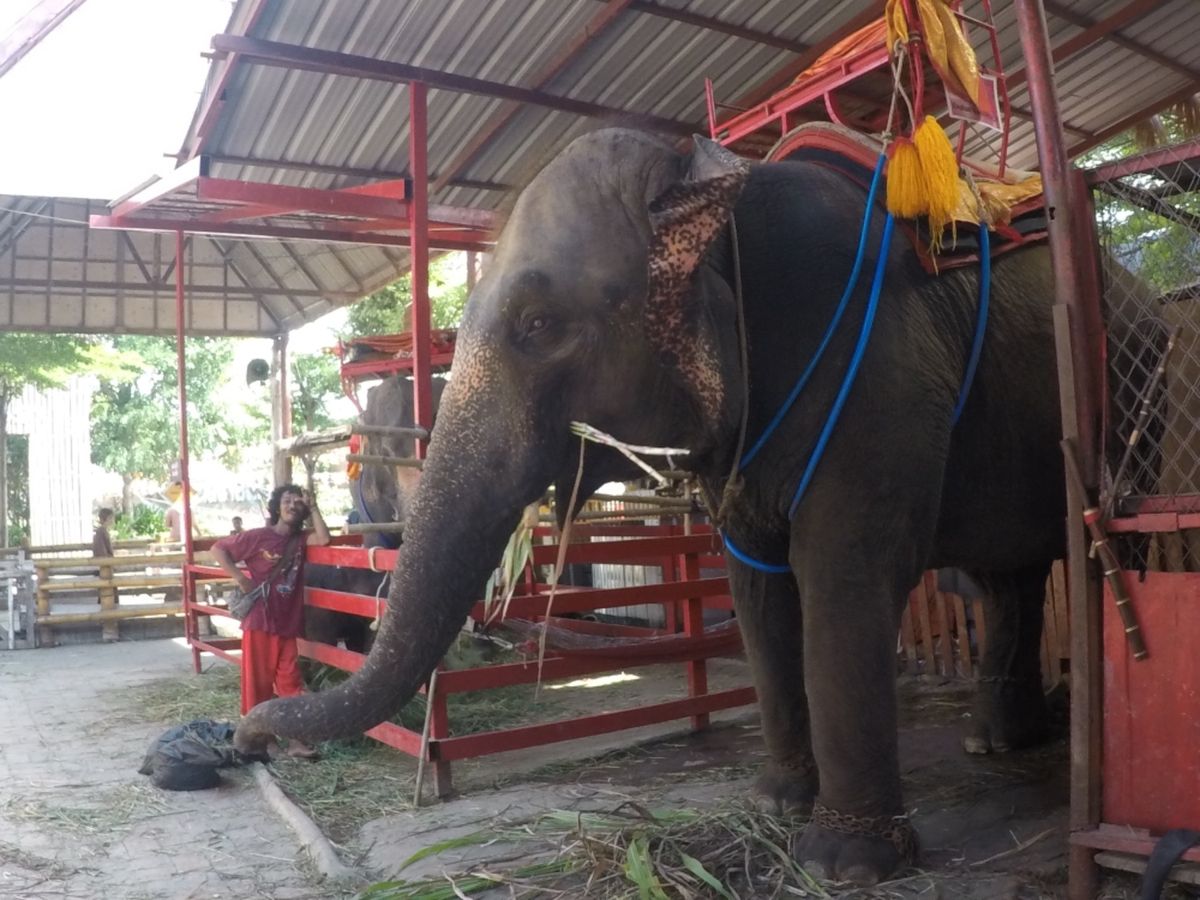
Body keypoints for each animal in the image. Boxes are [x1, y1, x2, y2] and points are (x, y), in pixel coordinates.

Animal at [237, 126, 1076, 884]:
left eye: (538, 324)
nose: (247, 742)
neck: (718, 187)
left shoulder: (880, 377)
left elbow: (842, 574)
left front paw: (842, 864)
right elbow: (757, 585)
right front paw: (775, 805)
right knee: (1011, 576)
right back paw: (1000, 742)